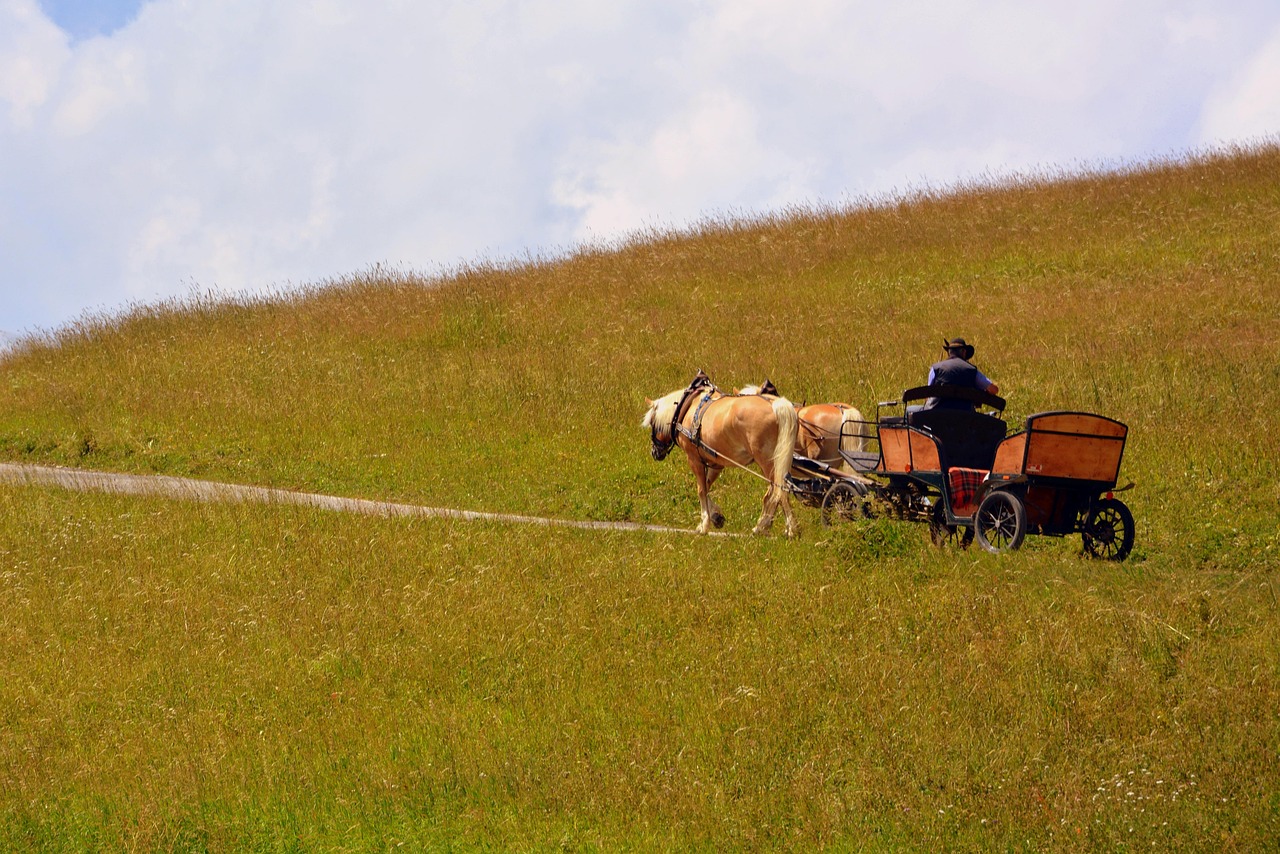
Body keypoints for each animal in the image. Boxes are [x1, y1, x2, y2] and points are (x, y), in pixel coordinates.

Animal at [640, 378, 798, 537]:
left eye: (652, 422)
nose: (655, 452)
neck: (688, 408)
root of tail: (775, 404)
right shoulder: (716, 464)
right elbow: (706, 487)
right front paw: (716, 516)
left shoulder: (694, 460)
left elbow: (701, 490)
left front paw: (704, 524)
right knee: (774, 493)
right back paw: (764, 526)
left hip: (769, 462)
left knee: (779, 490)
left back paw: (788, 529)